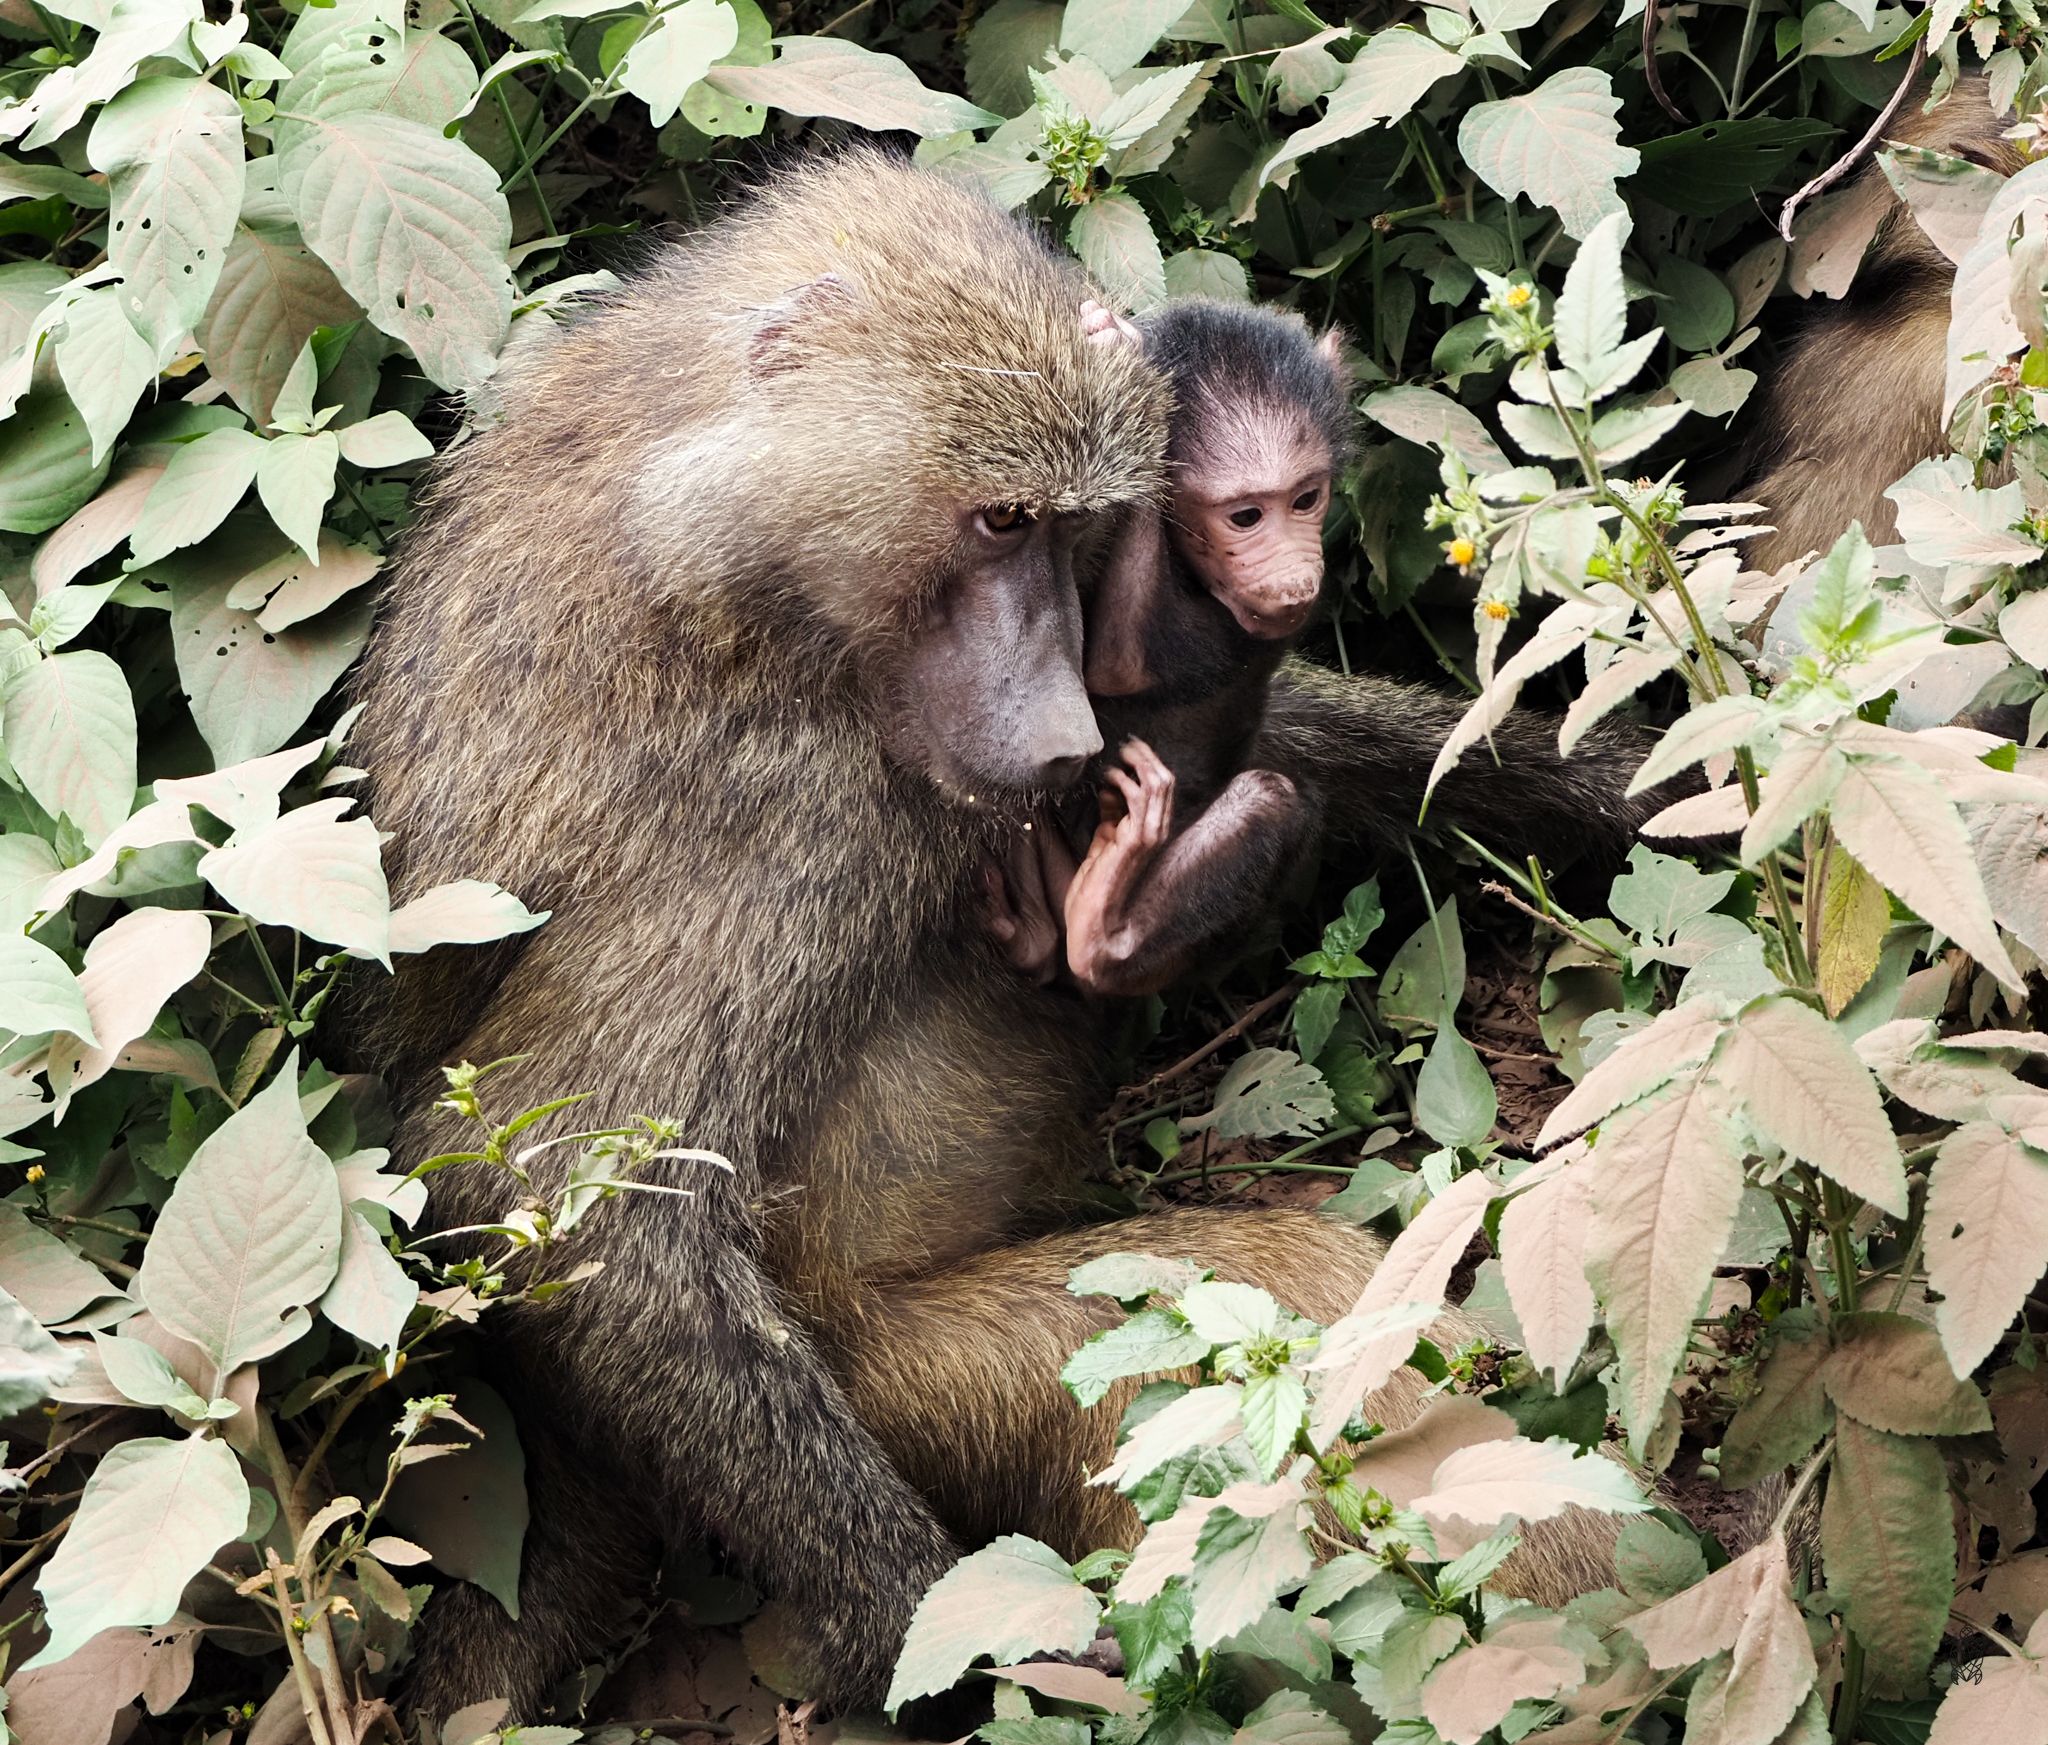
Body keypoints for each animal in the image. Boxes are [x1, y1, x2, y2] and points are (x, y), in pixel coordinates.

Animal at [344, 152, 1662, 1732]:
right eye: (997, 522)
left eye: (1073, 527)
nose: (1058, 729)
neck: (708, 540)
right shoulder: (804, 810)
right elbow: (554, 1181)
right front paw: (953, 1653)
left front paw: (1653, 784)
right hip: (923, 1379)